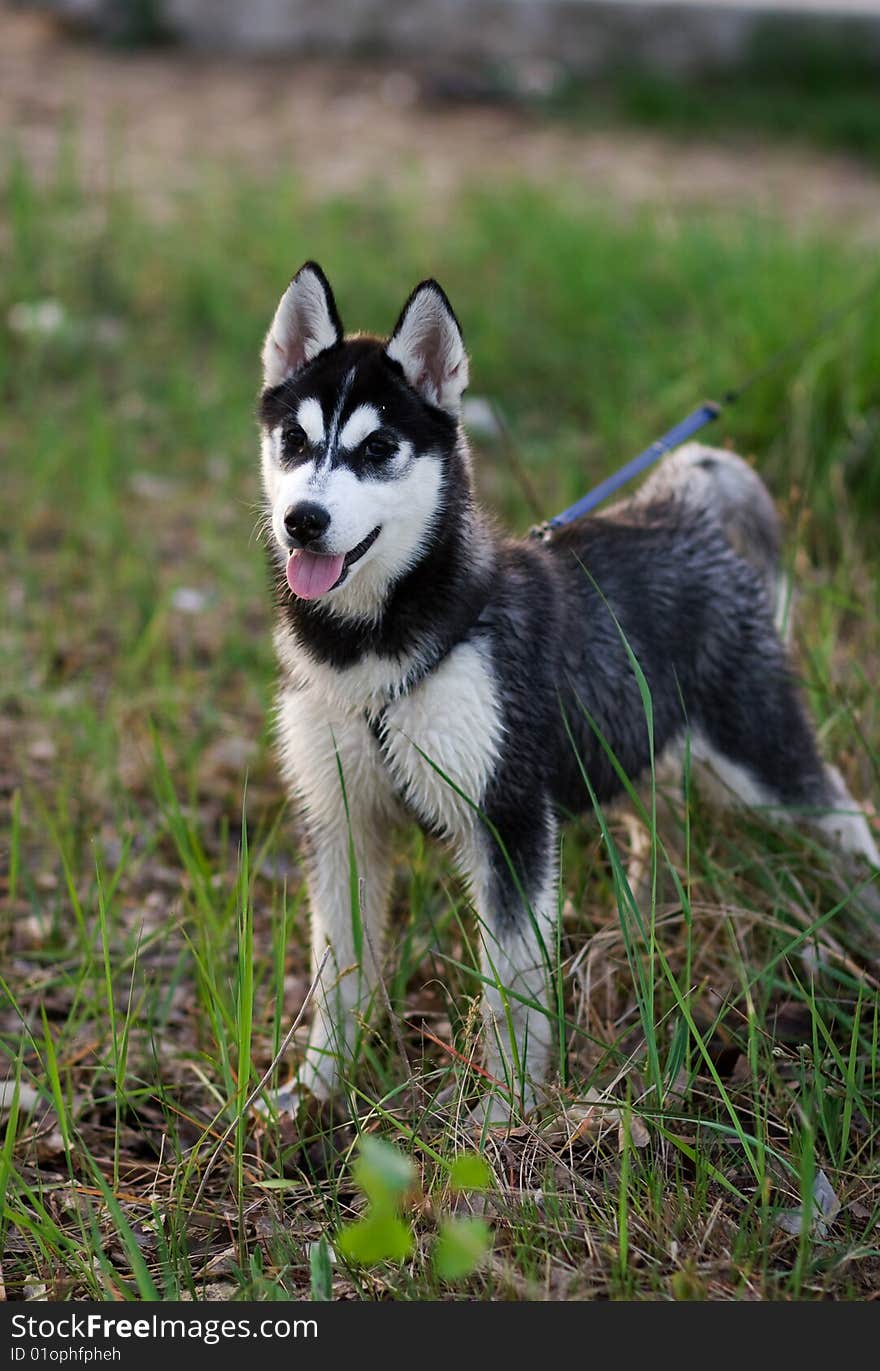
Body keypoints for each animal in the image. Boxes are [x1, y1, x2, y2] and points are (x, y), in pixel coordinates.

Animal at [254, 259, 877, 1124]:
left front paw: (505, 1115)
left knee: (841, 811)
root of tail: (684, 514)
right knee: (663, 825)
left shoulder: (510, 816)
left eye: (378, 447)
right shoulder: (341, 817)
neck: (374, 647)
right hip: (638, 748)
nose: (303, 521)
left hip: (759, 760)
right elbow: (336, 974)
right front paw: (316, 1089)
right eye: (296, 441)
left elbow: (511, 989)